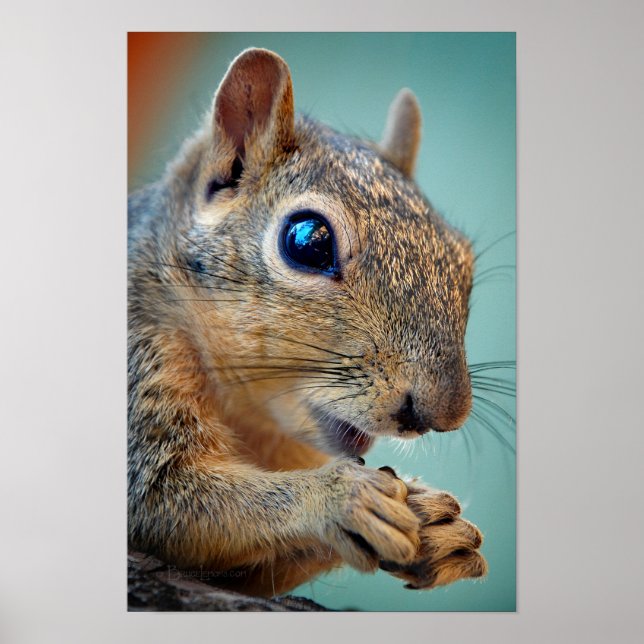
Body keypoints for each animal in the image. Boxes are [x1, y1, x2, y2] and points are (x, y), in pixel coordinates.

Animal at [128, 47, 487, 598]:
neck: (255, 422)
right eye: (308, 241)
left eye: (462, 260)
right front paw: (342, 499)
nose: (439, 413)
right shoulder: (139, 356)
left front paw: (435, 528)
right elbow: (164, 500)